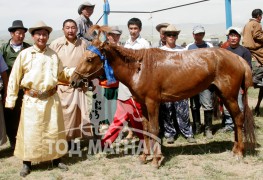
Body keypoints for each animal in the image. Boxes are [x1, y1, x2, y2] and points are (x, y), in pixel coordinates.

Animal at [71, 25, 256, 167]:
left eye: (89, 59)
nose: (73, 80)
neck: (139, 68)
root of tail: (238, 58)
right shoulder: (143, 104)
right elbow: (145, 129)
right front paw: (145, 156)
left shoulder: (153, 103)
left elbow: (154, 129)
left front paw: (156, 159)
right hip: (224, 96)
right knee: (236, 119)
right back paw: (235, 148)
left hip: (230, 96)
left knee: (238, 118)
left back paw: (239, 151)